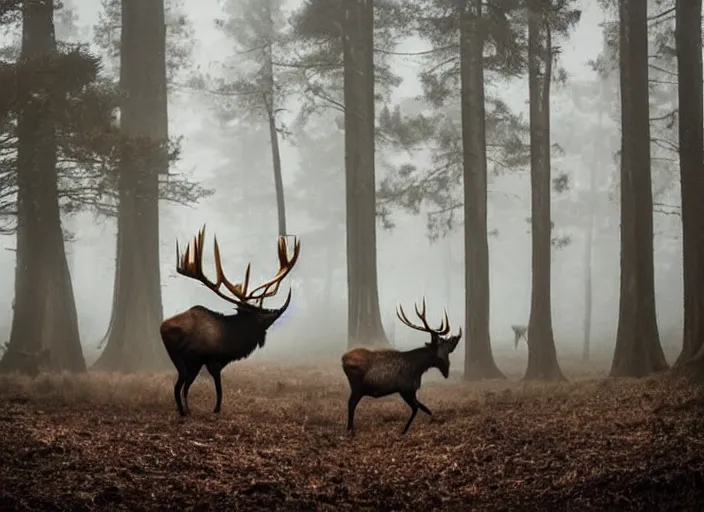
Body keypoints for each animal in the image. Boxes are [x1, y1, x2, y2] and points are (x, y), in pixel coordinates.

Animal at [160, 227, 300, 416]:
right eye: (261, 315)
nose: (278, 311)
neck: (230, 340)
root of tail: (162, 327)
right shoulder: (212, 360)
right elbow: (219, 389)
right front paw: (216, 409)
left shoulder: (206, 362)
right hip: (180, 358)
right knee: (178, 386)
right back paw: (183, 412)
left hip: (187, 362)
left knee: (182, 387)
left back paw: (186, 410)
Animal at [340, 300, 462, 436]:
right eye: (444, 349)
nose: (447, 371)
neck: (419, 368)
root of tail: (343, 359)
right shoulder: (405, 389)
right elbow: (417, 408)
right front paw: (404, 430)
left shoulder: (411, 390)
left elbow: (422, 407)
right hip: (357, 387)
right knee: (351, 403)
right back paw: (350, 429)